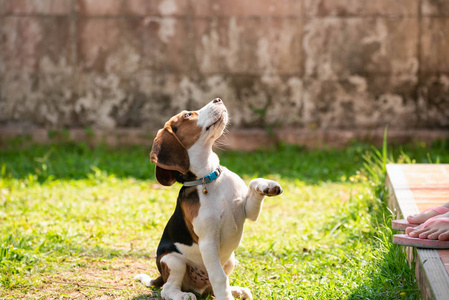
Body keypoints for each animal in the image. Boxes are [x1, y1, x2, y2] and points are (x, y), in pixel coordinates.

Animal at [136, 98, 282, 298]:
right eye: (187, 115)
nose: (218, 99)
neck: (210, 177)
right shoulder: (208, 242)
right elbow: (219, 278)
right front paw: (226, 298)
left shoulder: (248, 212)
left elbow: (253, 182)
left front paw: (267, 185)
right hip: (173, 261)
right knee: (167, 289)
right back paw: (183, 295)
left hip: (230, 260)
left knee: (211, 288)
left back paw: (237, 290)